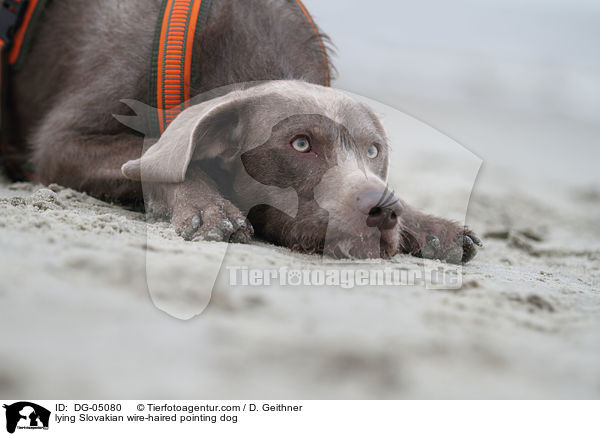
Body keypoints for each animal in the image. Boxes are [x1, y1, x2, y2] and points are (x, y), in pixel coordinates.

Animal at [7, 0, 480, 262]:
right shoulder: (64, 142)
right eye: (301, 144)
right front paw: (209, 210)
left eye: (373, 151)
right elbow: (161, 156)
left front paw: (431, 226)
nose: (382, 210)